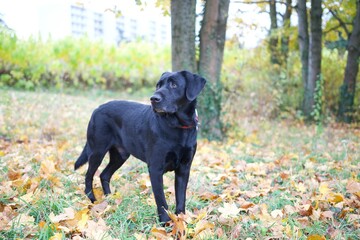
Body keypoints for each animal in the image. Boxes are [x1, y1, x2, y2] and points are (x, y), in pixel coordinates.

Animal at [74, 70, 207, 223]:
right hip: (97, 150)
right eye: (158, 85)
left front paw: (181, 220)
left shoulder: (184, 168)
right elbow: (161, 199)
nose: (153, 98)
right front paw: (165, 222)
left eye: (174, 85)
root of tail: (97, 109)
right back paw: (92, 200)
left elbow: (181, 197)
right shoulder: (155, 168)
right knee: (88, 175)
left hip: (120, 155)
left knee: (104, 174)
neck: (179, 127)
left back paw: (110, 198)